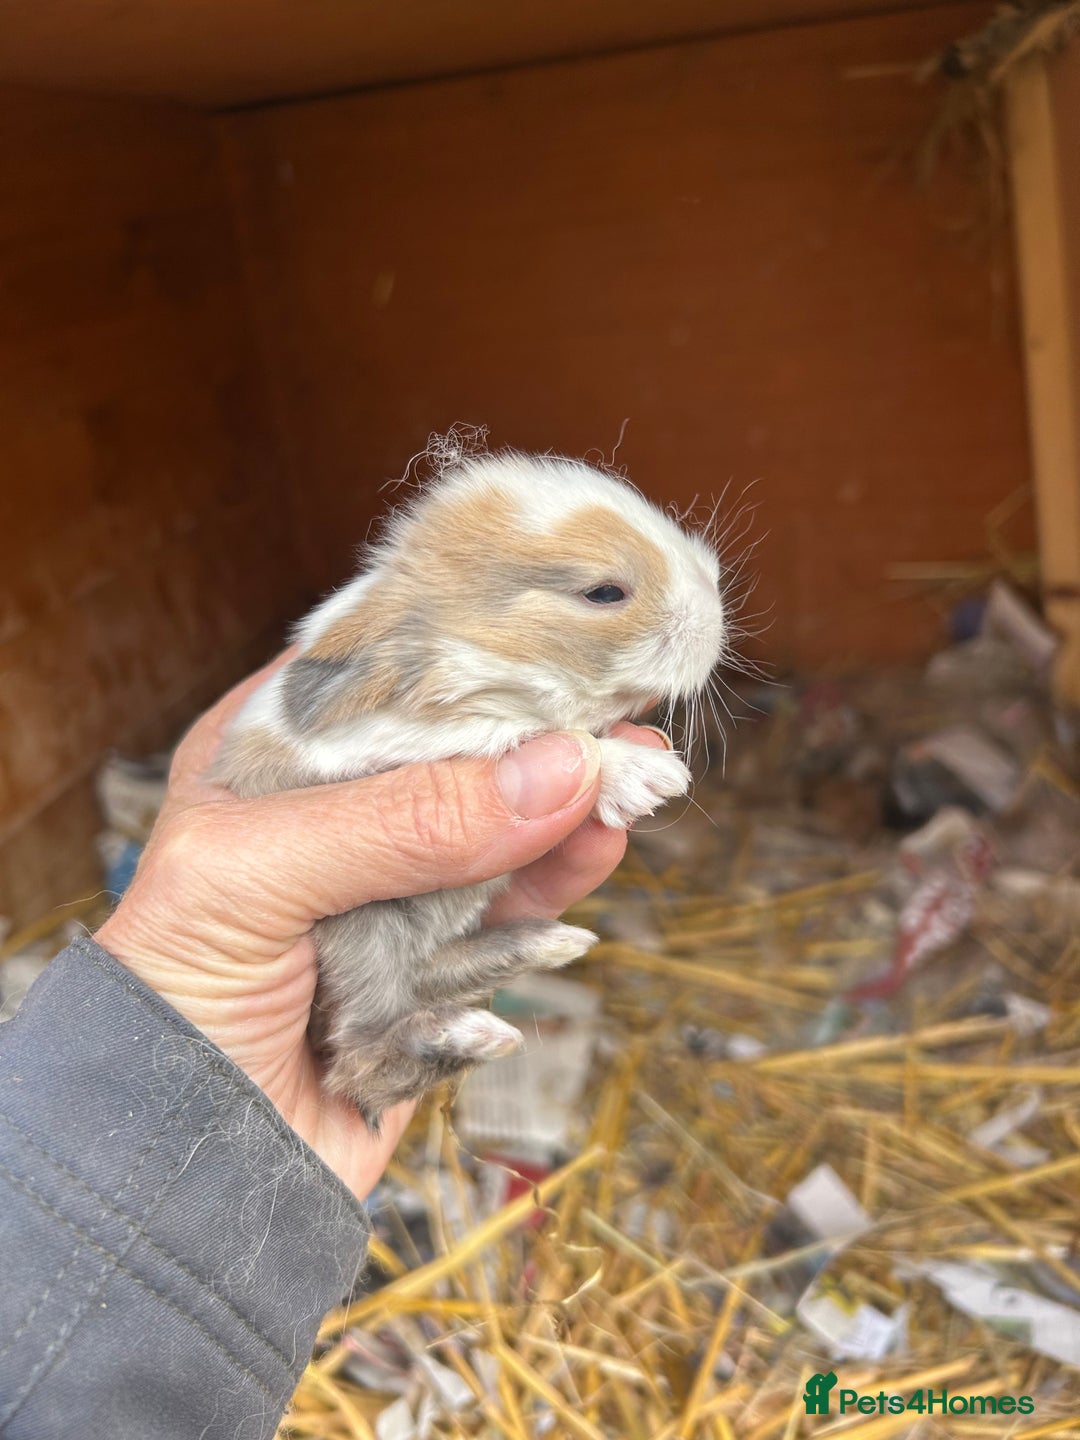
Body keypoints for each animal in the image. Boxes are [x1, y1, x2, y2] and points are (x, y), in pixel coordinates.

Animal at [213, 443, 728, 1131]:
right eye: (604, 592)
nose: (716, 608)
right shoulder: (405, 743)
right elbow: (528, 736)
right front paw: (649, 775)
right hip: (363, 932)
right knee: (362, 1058)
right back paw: (475, 1033)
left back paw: (552, 944)